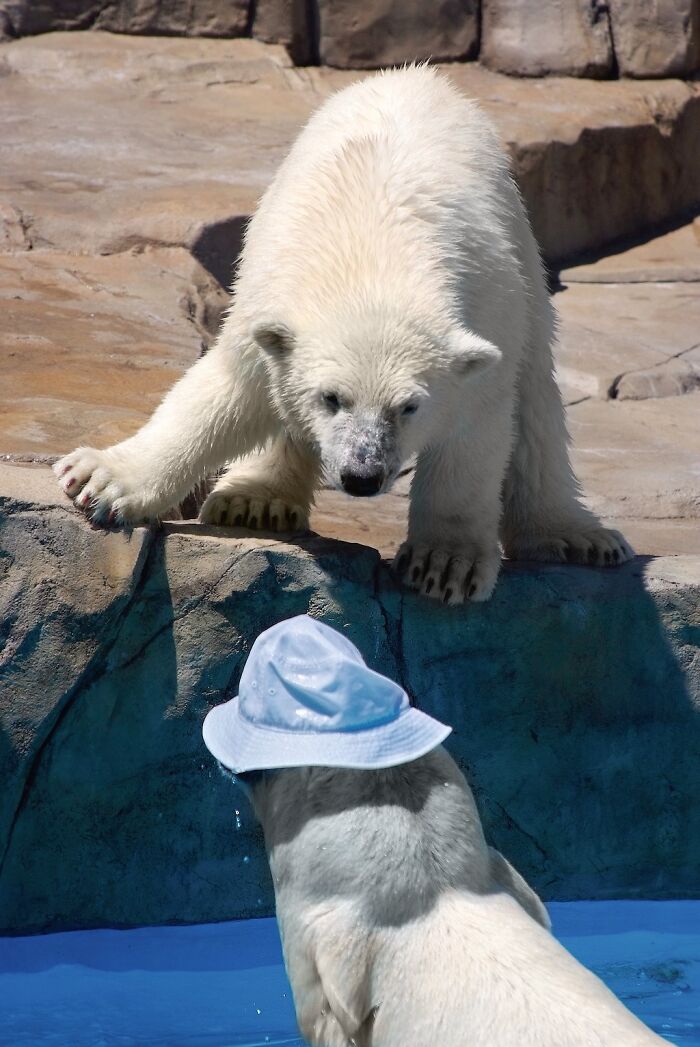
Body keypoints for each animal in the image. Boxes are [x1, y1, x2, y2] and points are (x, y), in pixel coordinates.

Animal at [55, 65, 631, 603]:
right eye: (331, 398)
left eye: (408, 407)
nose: (362, 476)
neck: (376, 256)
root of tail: (418, 75)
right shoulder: (271, 290)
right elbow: (227, 389)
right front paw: (100, 480)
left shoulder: (486, 314)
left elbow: (474, 431)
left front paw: (447, 563)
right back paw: (255, 500)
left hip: (526, 259)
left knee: (535, 400)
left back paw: (574, 537)